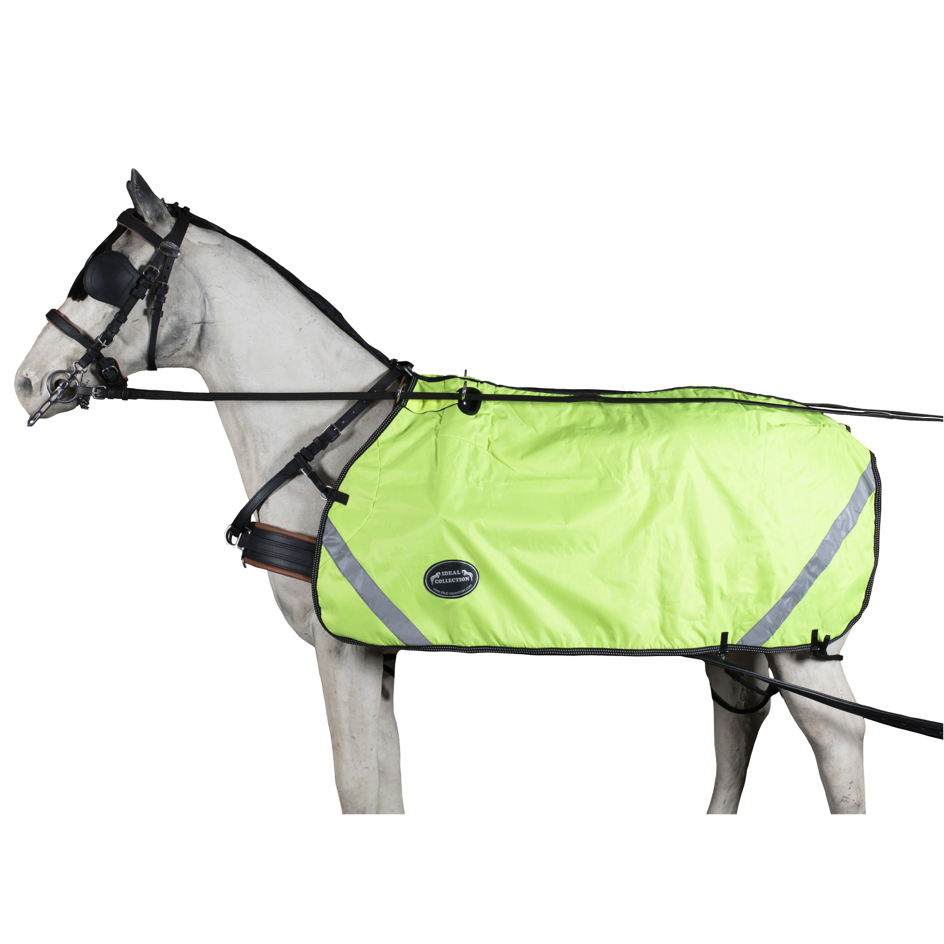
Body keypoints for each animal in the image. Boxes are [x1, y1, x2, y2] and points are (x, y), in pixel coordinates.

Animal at [14, 170, 920, 814]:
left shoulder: (341, 648)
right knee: (738, 724)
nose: (27, 381)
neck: (330, 431)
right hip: (736, 632)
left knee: (837, 740)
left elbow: (357, 788)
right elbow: (382, 787)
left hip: (801, 639)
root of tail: (849, 436)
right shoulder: (372, 649)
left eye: (104, 273)